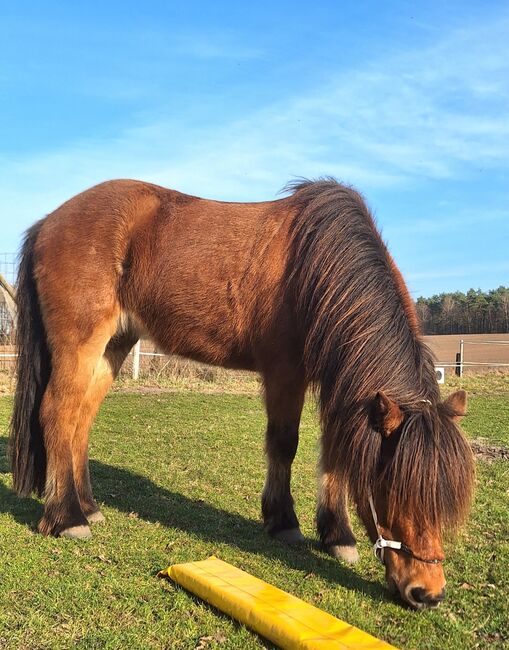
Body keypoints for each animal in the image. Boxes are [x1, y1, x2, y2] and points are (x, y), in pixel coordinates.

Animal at [9, 178, 474, 609]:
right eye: (395, 490)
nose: (428, 593)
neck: (317, 265)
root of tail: (47, 223)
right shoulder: (286, 373)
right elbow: (284, 444)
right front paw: (284, 521)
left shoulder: (335, 383)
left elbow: (335, 454)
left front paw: (337, 536)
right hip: (80, 344)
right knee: (57, 414)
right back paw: (67, 517)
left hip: (114, 346)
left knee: (80, 422)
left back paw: (87, 505)